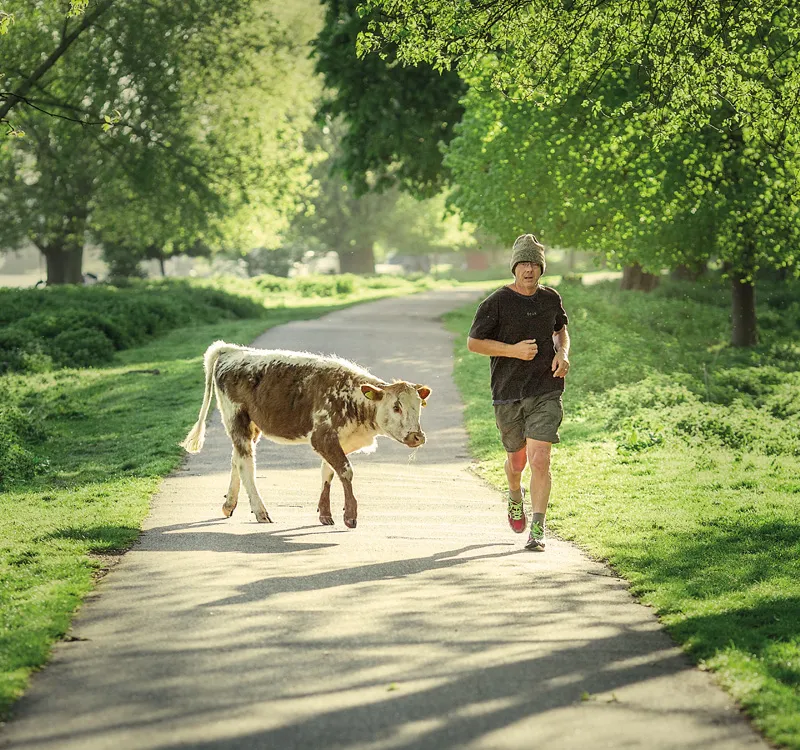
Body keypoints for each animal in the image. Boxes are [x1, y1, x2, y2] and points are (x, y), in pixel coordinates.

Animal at [181, 340, 432, 528]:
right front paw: (350, 515)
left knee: (236, 459)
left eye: (419, 406)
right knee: (245, 463)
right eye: (396, 406)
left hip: (252, 426)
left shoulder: (338, 440)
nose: (417, 436)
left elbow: (327, 472)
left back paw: (229, 505)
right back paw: (260, 511)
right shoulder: (323, 437)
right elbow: (345, 470)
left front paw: (325, 513)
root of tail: (232, 350)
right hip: (236, 418)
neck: (352, 397)